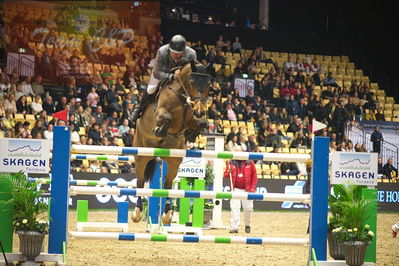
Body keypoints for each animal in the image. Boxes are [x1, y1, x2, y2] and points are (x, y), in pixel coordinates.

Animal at [132, 60, 212, 224]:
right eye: (192, 82)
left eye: (208, 84)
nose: (200, 110)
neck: (182, 95)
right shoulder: (160, 113)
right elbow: (167, 118)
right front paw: (159, 130)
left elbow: (201, 123)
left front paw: (192, 134)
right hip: (141, 155)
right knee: (140, 182)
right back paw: (137, 212)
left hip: (174, 160)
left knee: (168, 184)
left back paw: (168, 213)